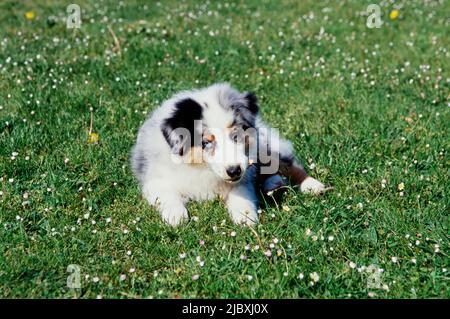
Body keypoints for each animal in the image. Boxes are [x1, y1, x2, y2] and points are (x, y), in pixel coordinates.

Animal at [131, 84, 326, 226]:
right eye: (206, 142)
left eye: (236, 135)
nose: (234, 171)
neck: (203, 169)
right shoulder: (155, 179)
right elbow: (166, 195)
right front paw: (176, 216)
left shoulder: (244, 173)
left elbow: (241, 193)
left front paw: (245, 217)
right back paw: (274, 184)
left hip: (264, 147)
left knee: (287, 164)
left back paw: (312, 186)